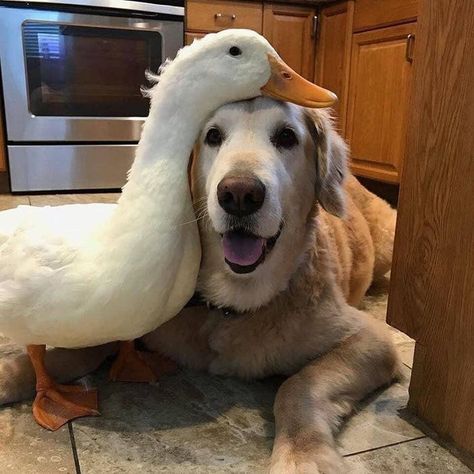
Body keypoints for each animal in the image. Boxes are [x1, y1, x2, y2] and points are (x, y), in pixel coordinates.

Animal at [0, 98, 400, 472]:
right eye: (213, 136)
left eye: (287, 137)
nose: (239, 195)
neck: (231, 306)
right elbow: (72, 353)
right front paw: (10, 374)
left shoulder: (372, 341)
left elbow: (297, 385)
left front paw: (304, 457)